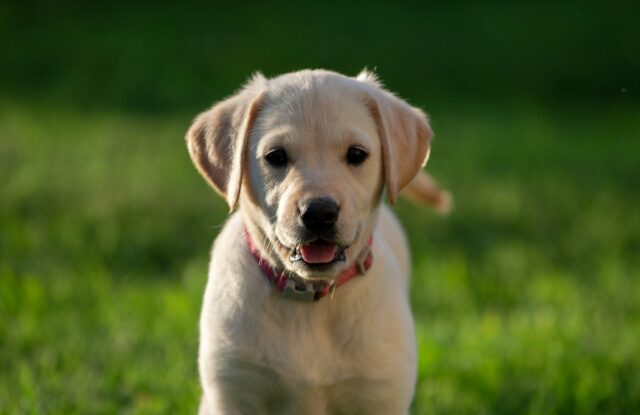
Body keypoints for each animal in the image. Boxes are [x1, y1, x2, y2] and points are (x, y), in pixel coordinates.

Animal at [185, 70, 450, 414]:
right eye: (276, 156)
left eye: (356, 154)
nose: (319, 213)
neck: (310, 297)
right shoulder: (232, 391)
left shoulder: (380, 394)